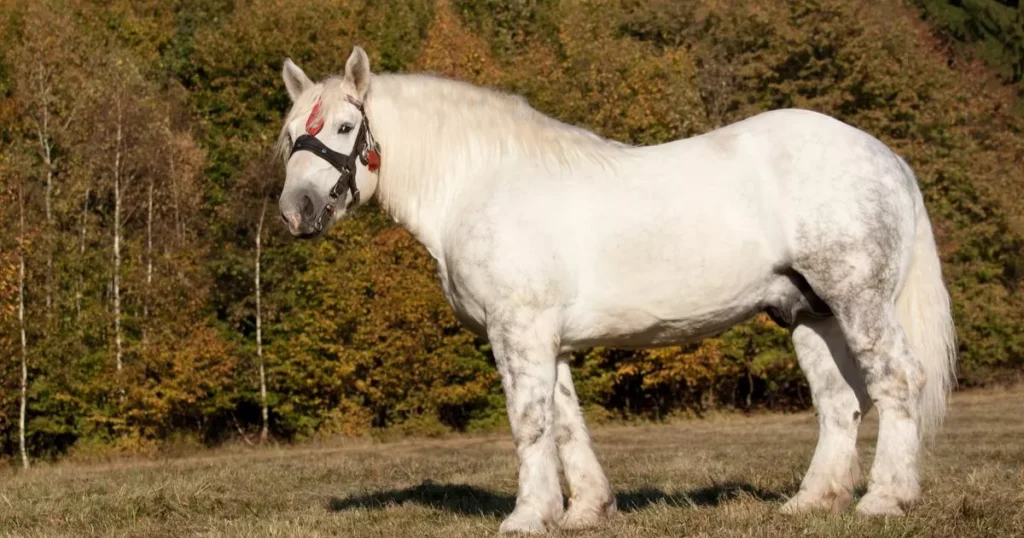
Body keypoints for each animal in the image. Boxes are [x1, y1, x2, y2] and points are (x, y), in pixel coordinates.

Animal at [276, 47, 954, 532]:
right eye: (288, 136)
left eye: (345, 126)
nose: (295, 211)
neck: (479, 182)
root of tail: (886, 158)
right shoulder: (548, 340)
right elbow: (565, 421)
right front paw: (583, 511)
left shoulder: (518, 329)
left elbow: (529, 421)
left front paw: (526, 517)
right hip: (811, 313)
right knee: (839, 403)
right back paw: (811, 503)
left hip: (858, 299)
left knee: (897, 381)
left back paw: (885, 499)